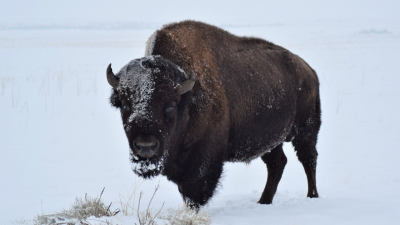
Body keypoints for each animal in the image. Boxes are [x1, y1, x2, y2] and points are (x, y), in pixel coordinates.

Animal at [107, 20, 322, 208]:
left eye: (170, 106)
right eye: (125, 105)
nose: (146, 146)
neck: (187, 97)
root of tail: (308, 71)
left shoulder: (204, 156)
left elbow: (194, 190)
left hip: (306, 130)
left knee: (308, 159)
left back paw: (312, 196)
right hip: (270, 140)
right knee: (277, 163)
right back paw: (263, 202)